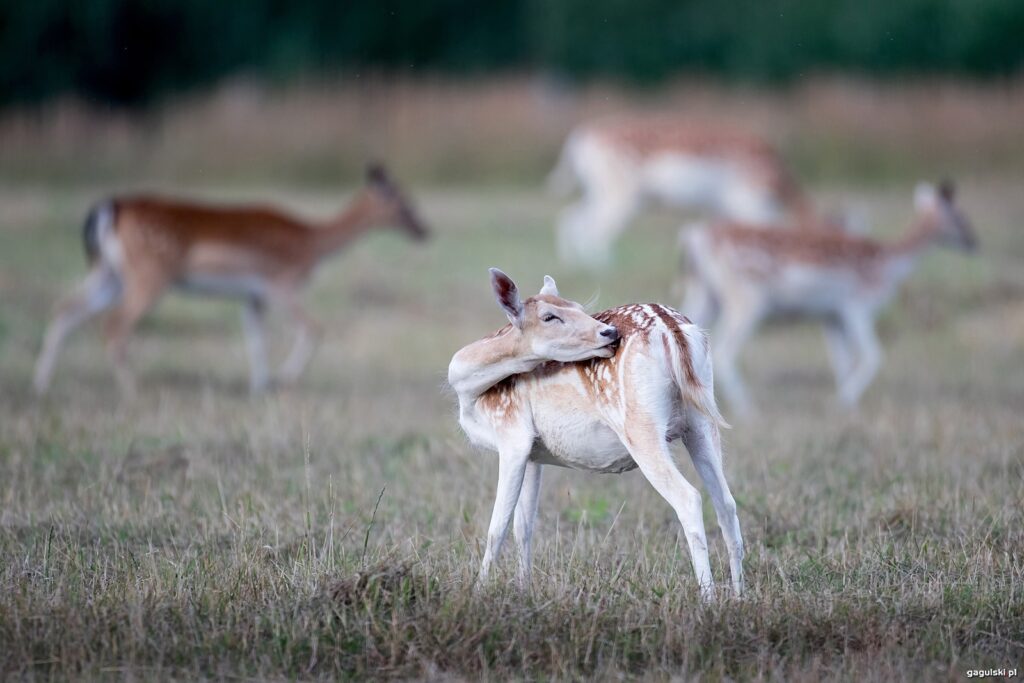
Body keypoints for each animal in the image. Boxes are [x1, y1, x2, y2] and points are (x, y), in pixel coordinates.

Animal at [34, 163, 428, 395]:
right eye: (403, 203)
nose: (425, 230)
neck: (311, 243)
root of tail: (110, 208)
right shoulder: (279, 282)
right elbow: (314, 328)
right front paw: (282, 379)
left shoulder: (253, 295)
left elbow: (255, 339)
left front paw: (260, 386)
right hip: (149, 275)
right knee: (112, 324)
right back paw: (134, 390)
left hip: (109, 273)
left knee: (64, 309)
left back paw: (41, 386)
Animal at [448, 270, 745, 602]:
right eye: (550, 316)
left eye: (578, 307)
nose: (609, 332)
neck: (469, 394)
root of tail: (671, 329)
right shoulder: (533, 453)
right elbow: (523, 525)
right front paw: (524, 589)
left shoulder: (511, 433)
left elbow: (497, 526)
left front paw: (478, 592)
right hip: (701, 420)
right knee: (727, 503)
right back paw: (739, 597)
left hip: (640, 425)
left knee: (689, 497)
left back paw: (708, 600)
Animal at [548, 116, 819, 268]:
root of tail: (580, 139)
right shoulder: (747, 200)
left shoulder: (720, 207)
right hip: (621, 194)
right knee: (596, 228)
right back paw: (603, 268)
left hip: (600, 190)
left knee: (572, 215)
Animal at [679, 180, 974, 417]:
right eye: (960, 217)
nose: (974, 242)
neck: (889, 263)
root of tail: (693, 238)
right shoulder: (857, 307)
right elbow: (872, 355)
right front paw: (844, 402)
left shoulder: (831, 316)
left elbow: (842, 361)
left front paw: (846, 405)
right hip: (747, 300)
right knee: (724, 350)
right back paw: (747, 409)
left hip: (705, 294)